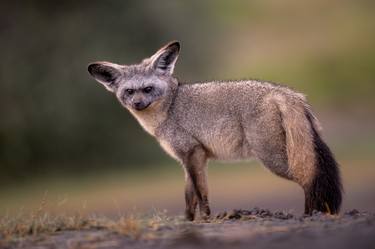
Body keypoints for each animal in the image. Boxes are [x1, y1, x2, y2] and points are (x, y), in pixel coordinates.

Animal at [88, 41, 344, 222]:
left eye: (148, 89)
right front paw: (188, 221)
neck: (169, 108)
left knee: (309, 177)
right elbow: (189, 195)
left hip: (275, 159)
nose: (138, 104)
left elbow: (201, 194)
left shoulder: (193, 153)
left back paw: (312, 214)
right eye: (130, 92)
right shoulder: (193, 158)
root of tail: (283, 91)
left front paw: (206, 219)